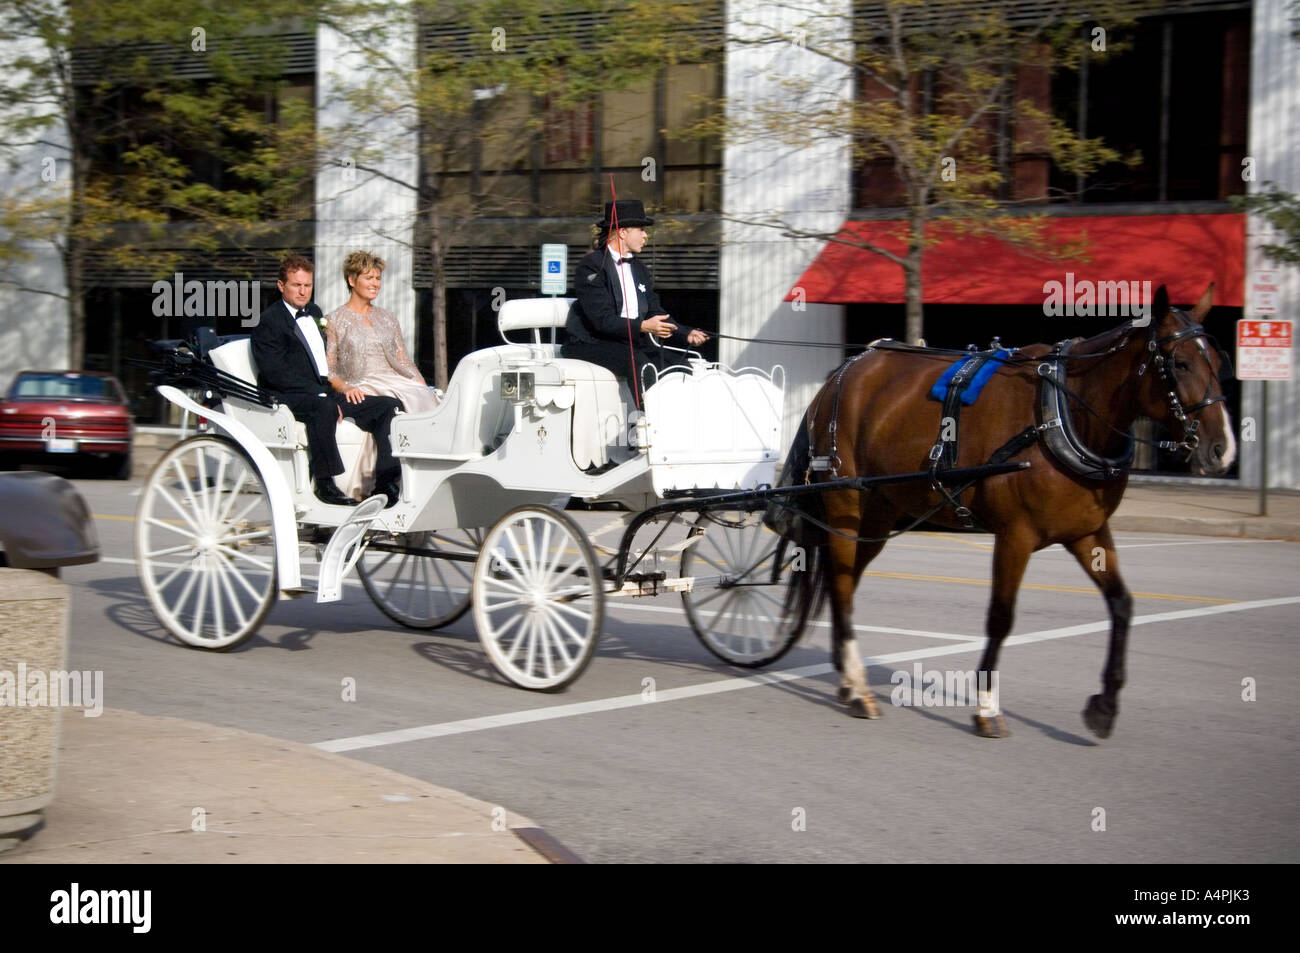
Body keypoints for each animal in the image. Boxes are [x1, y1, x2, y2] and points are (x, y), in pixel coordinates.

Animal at [774, 282, 1232, 738]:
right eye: (1180, 363)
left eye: (1218, 361)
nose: (1222, 449)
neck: (1062, 415)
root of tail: (842, 373)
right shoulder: (1016, 534)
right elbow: (1001, 616)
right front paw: (987, 707)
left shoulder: (1087, 532)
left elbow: (1121, 604)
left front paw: (1105, 706)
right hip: (847, 502)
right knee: (843, 584)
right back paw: (856, 689)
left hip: (879, 513)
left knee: (844, 582)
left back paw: (848, 679)